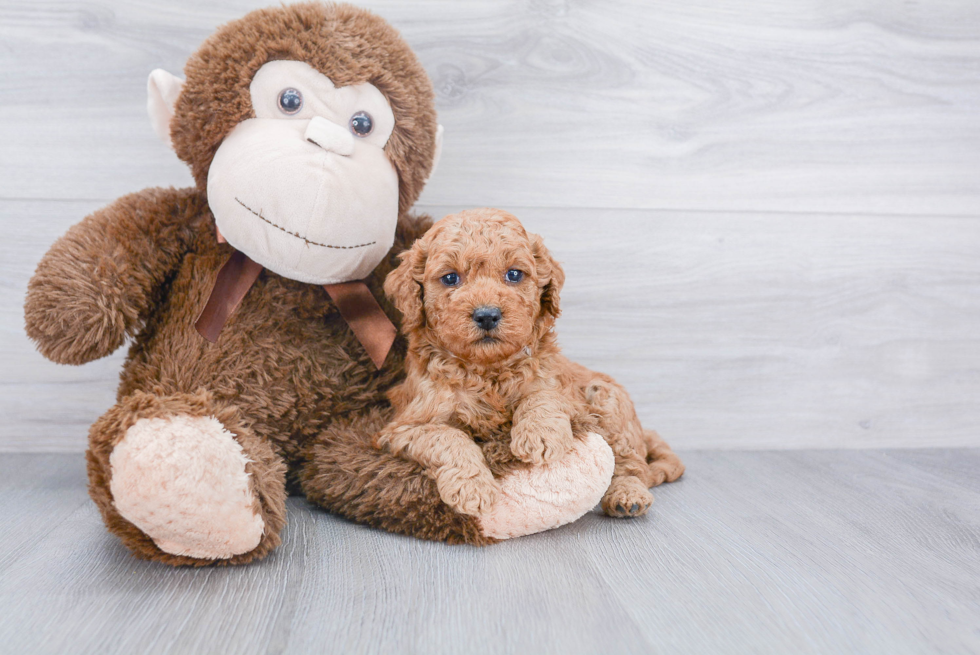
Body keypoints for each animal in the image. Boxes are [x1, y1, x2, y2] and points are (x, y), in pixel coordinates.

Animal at [378, 210, 684, 524]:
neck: (487, 370)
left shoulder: (561, 385)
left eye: (514, 274)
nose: (486, 315)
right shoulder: (405, 426)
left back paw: (627, 495)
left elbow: (543, 396)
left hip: (608, 399)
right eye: (450, 278)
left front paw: (539, 435)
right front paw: (472, 487)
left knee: (632, 465)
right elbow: (447, 436)